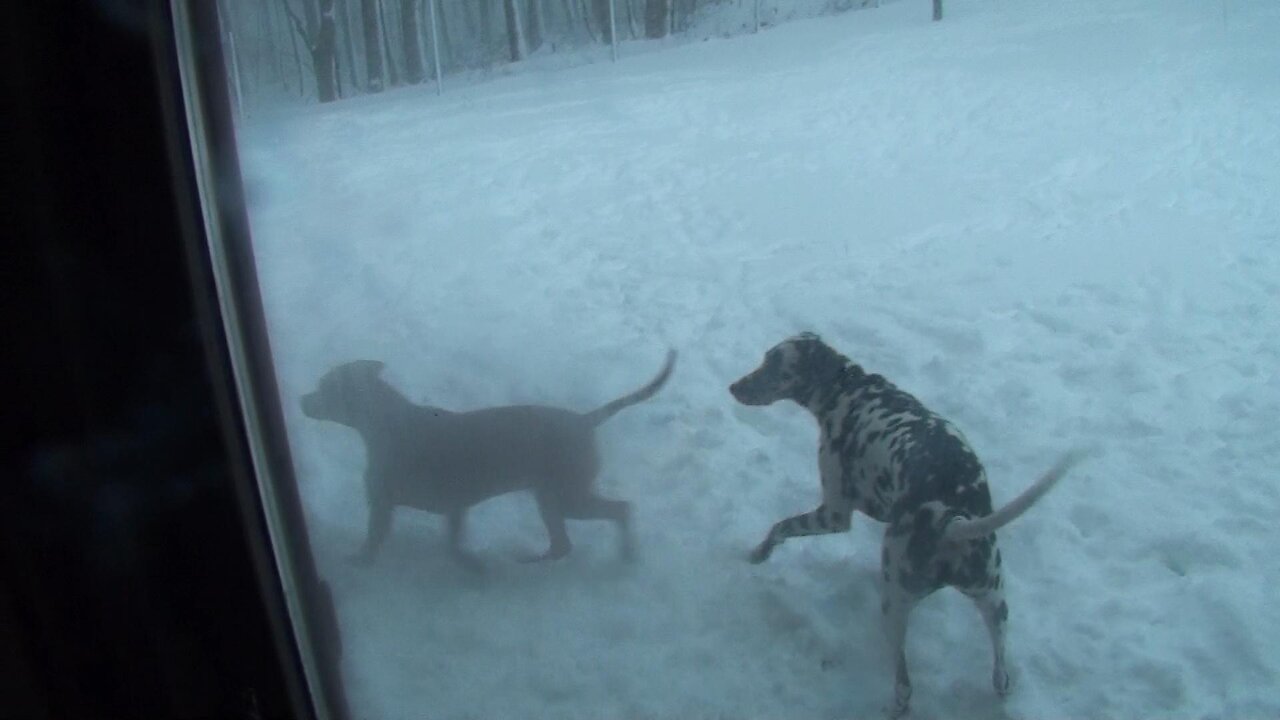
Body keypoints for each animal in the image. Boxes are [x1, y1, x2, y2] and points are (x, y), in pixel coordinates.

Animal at [732, 333, 1080, 712]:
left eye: (775, 365)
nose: (734, 387)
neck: (848, 389)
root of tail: (951, 519)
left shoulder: (834, 514)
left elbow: (780, 527)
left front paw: (758, 554)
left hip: (895, 607)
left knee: (904, 686)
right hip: (995, 603)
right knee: (1001, 678)